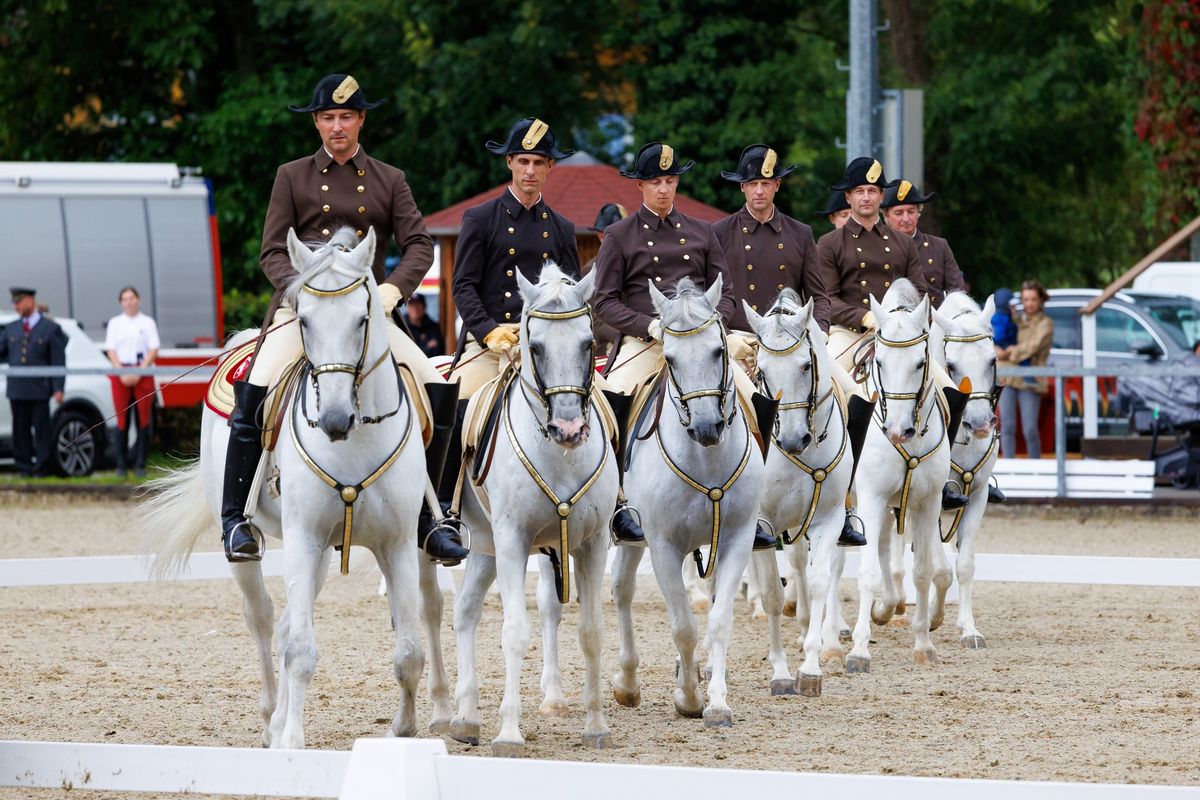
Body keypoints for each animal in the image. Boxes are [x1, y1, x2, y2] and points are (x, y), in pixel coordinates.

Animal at [145, 227, 451, 748]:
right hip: (263, 547)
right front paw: (291, 740)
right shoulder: (305, 537)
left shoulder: (396, 544)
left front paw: (404, 729)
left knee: (289, 622)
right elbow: (301, 650)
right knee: (265, 619)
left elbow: (409, 649)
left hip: (325, 551)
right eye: (304, 319)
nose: (334, 419)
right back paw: (272, 717)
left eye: (363, 318)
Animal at [448, 263, 619, 758]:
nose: (568, 429)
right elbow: (514, 633)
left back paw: (470, 717)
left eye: (587, 342)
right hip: (486, 545)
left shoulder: (592, 543)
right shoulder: (512, 542)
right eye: (536, 346)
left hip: (487, 551)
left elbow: (592, 632)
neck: (559, 457)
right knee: (455, 615)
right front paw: (509, 733)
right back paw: (458, 716)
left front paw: (596, 726)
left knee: (467, 611)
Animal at [614, 278, 763, 729]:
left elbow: (718, 620)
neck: (707, 458)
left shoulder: (736, 540)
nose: (707, 426)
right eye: (670, 357)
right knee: (620, 592)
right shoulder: (662, 545)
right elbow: (683, 627)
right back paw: (626, 683)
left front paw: (716, 703)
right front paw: (689, 698)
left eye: (717, 350)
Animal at [744, 291, 859, 695]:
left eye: (806, 366)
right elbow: (772, 596)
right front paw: (780, 673)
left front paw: (810, 666)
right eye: (761, 371)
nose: (795, 440)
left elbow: (820, 580)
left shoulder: (828, 519)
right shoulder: (762, 525)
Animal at [849, 278, 950, 671]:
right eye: (878, 361)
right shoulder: (871, 499)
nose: (897, 431)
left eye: (920, 362)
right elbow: (865, 574)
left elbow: (922, 570)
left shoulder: (927, 503)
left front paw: (923, 643)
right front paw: (858, 651)